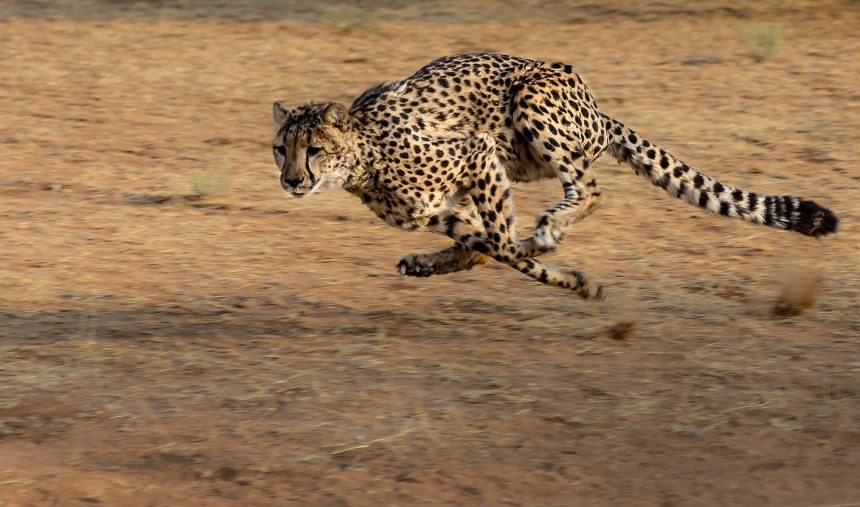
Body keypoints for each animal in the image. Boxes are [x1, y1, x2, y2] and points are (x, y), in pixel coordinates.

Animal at [274, 53, 840, 300]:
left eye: (314, 150)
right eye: (281, 149)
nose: (291, 181)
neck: (363, 158)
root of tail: (596, 106)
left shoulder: (477, 153)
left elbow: (503, 245)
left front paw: (569, 276)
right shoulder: (440, 209)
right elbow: (489, 246)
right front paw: (568, 277)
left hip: (530, 103)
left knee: (589, 189)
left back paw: (549, 228)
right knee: (488, 242)